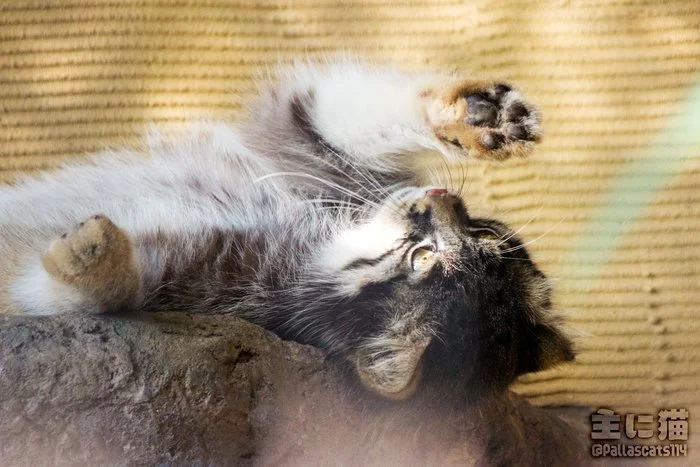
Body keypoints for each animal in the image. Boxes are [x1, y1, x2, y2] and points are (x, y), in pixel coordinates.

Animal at [0, 60, 576, 400]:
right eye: (486, 237)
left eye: (421, 258)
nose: (443, 198)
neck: (317, 238)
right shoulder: (307, 145)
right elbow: (360, 115)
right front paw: (474, 114)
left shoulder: (194, 288)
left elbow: (89, 291)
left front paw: (94, 254)